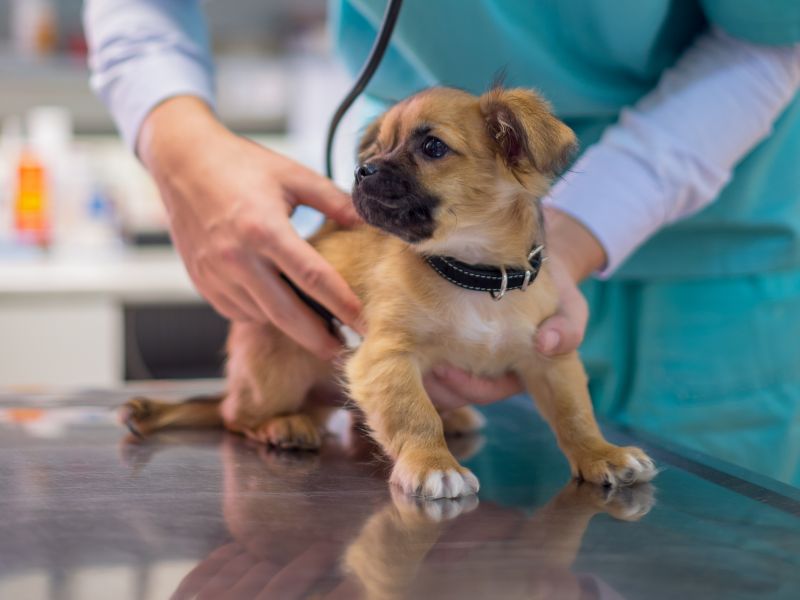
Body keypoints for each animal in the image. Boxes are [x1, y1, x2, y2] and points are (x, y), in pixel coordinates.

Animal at [125, 84, 660, 496]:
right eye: (376, 150)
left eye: (433, 148)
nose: (362, 171)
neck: (473, 273)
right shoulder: (385, 357)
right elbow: (413, 413)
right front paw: (432, 464)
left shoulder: (550, 357)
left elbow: (575, 413)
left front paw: (602, 453)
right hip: (280, 365)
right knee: (233, 414)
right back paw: (281, 425)